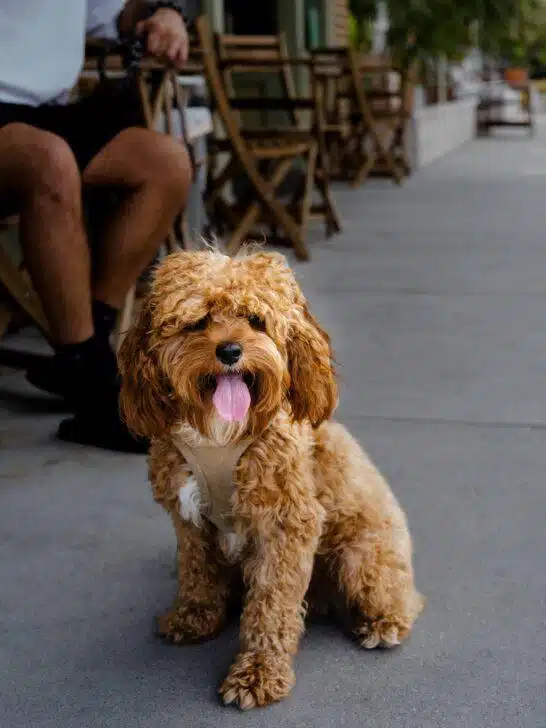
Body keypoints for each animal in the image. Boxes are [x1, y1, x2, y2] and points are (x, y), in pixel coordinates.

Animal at [118, 252, 424, 712]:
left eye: (255, 319)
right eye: (197, 321)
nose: (230, 350)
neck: (218, 434)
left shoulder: (286, 523)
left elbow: (272, 605)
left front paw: (259, 672)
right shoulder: (189, 520)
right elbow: (197, 572)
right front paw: (194, 617)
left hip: (362, 557)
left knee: (399, 597)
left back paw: (383, 623)